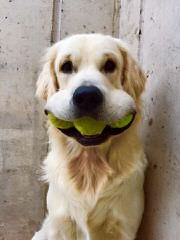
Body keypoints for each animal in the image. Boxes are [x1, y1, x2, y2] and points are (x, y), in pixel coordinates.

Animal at [32, 33, 148, 240]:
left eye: (110, 64)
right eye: (66, 66)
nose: (87, 96)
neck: (90, 164)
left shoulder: (123, 227)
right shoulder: (61, 223)